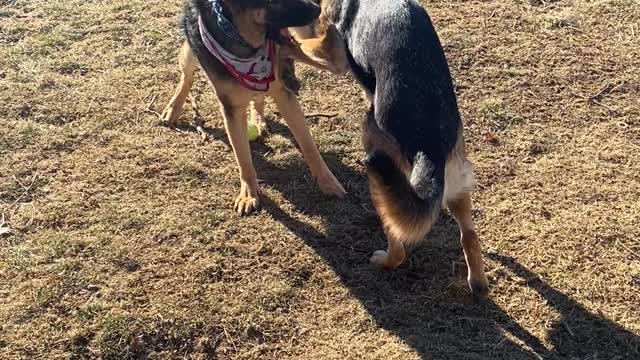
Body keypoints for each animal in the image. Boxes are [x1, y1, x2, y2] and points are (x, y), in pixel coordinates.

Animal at [161, 0, 350, 214]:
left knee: (260, 94)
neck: (247, 45)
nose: (317, 9)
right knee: (187, 77)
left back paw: (258, 118)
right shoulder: (232, 108)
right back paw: (173, 109)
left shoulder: (284, 92)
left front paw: (327, 182)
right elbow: (243, 158)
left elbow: (308, 145)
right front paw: (249, 194)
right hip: (191, 54)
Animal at [296, 0, 490, 298]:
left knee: (397, 243)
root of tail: (428, 145)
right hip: (458, 184)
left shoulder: (334, 53)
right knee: (469, 235)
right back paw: (478, 284)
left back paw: (384, 260)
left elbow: (308, 42)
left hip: (378, 171)